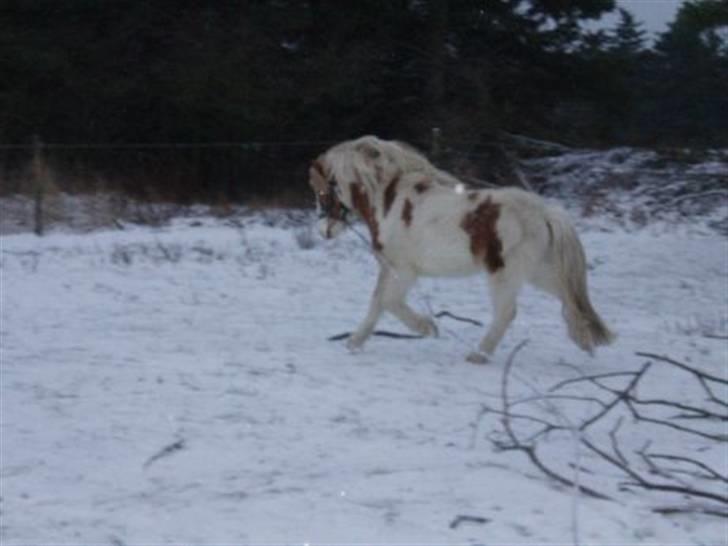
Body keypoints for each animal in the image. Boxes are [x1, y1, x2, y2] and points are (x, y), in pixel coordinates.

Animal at [308, 135, 616, 362]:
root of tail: (545, 212)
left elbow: (389, 303)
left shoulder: (403, 271)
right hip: (538, 271)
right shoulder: (389, 269)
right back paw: (585, 341)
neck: (389, 202)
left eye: (322, 191)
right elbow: (376, 303)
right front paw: (354, 342)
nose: (323, 230)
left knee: (507, 313)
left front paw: (428, 327)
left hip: (504, 274)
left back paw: (478, 355)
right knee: (568, 296)